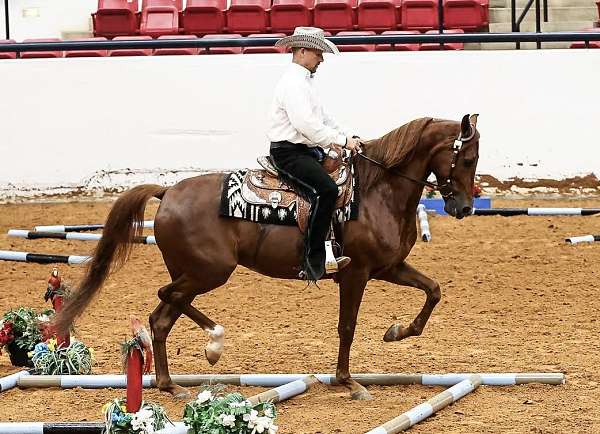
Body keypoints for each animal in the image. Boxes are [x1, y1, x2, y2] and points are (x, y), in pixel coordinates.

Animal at [55, 113, 478, 398]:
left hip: (193, 274)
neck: (377, 192)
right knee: (165, 299)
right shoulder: (356, 273)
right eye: (467, 158)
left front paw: (398, 332)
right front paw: (348, 381)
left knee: (161, 316)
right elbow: (347, 326)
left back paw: (170, 382)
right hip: (210, 271)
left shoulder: (388, 266)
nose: (464, 207)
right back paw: (212, 343)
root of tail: (168, 191)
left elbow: (433, 290)